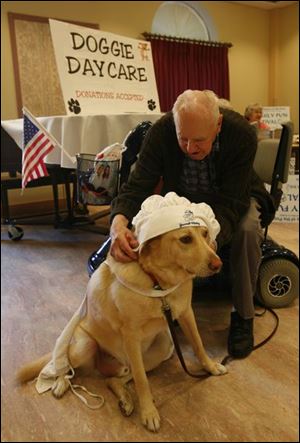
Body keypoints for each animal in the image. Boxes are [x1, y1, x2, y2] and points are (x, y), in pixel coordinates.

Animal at [17, 224, 227, 432]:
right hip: (85, 346)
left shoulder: (186, 313)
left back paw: (125, 400)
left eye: (205, 234)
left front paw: (211, 366)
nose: (218, 265)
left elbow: (198, 344)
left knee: (114, 379)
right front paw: (148, 412)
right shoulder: (131, 336)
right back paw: (61, 383)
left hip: (161, 346)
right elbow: (142, 381)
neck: (158, 285)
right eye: (185, 239)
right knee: (64, 364)